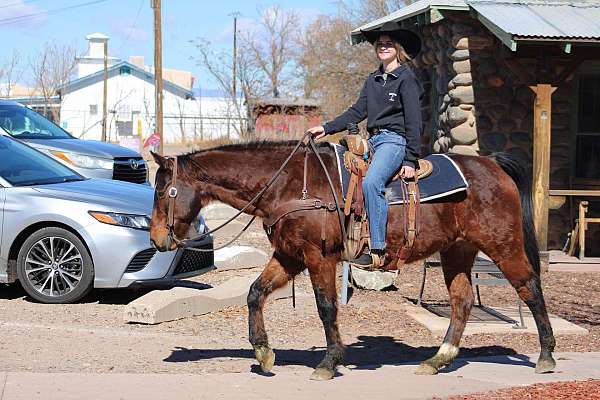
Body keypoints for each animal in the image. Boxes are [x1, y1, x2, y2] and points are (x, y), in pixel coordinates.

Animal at [148, 141, 556, 382]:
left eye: (165, 191)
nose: (156, 238)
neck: (289, 184)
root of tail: (493, 164)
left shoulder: (319, 257)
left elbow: (326, 307)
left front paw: (329, 362)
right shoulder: (289, 256)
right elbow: (254, 293)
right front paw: (263, 353)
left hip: (503, 247)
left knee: (531, 289)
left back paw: (546, 356)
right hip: (458, 251)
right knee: (462, 301)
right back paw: (438, 359)